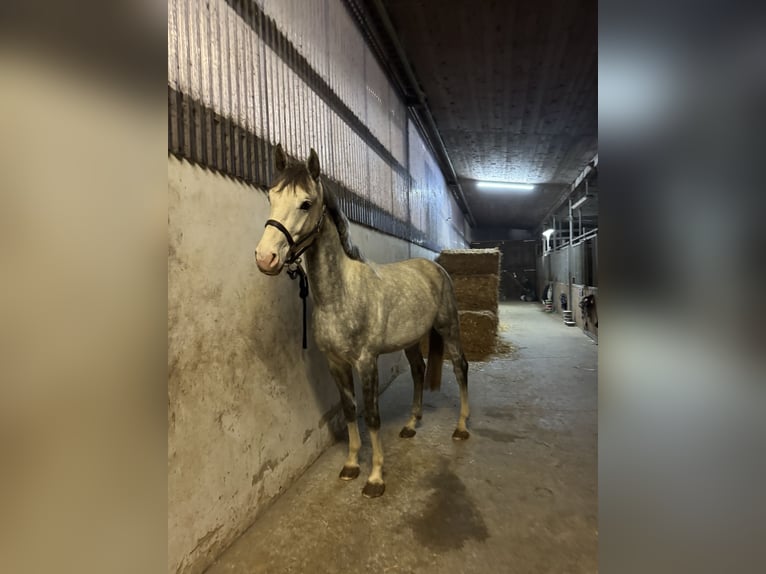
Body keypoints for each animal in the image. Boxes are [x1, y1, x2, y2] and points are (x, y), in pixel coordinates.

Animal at [255, 145, 468, 500]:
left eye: (305, 203)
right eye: (271, 196)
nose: (265, 258)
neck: (340, 294)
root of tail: (435, 267)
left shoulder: (367, 362)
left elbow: (372, 415)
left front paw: (376, 478)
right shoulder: (336, 364)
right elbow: (349, 409)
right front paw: (352, 465)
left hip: (449, 329)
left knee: (461, 366)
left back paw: (462, 427)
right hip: (411, 340)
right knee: (419, 370)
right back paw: (411, 425)